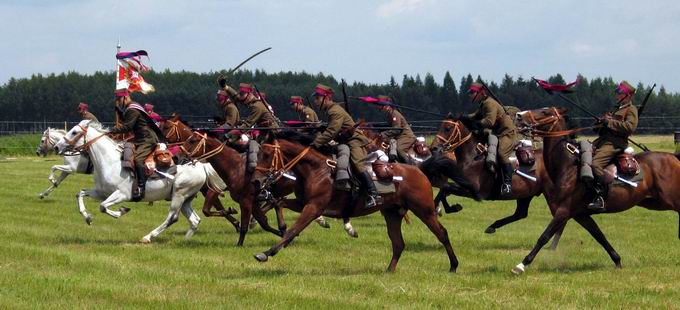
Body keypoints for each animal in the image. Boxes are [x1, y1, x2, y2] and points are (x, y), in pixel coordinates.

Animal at [56, 120, 220, 243]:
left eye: (74, 132)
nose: (57, 147)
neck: (110, 162)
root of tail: (200, 165)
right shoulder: (102, 192)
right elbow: (81, 194)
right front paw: (88, 217)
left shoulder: (122, 194)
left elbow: (103, 207)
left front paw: (121, 211)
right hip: (186, 199)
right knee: (195, 220)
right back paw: (184, 241)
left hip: (179, 196)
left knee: (173, 217)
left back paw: (148, 237)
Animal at [232, 132, 456, 272]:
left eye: (267, 154)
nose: (256, 181)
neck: (316, 169)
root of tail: (419, 169)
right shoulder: (302, 203)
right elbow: (279, 203)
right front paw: (258, 220)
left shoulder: (313, 207)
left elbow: (293, 230)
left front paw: (266, 253)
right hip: (392, 214)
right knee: (398, 244)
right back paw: (389, 270)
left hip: (424, 210)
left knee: (443, 233)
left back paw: (454, 266)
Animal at [512, 106, 680, 274]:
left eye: (545, 112)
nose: (519, 116)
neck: (569, 165)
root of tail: (673, 157)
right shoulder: (580, 214)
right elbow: (599, 235)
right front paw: (617, 261)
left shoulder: (564, 210)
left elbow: (544, 236)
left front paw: (521, 265)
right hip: (653, 203)